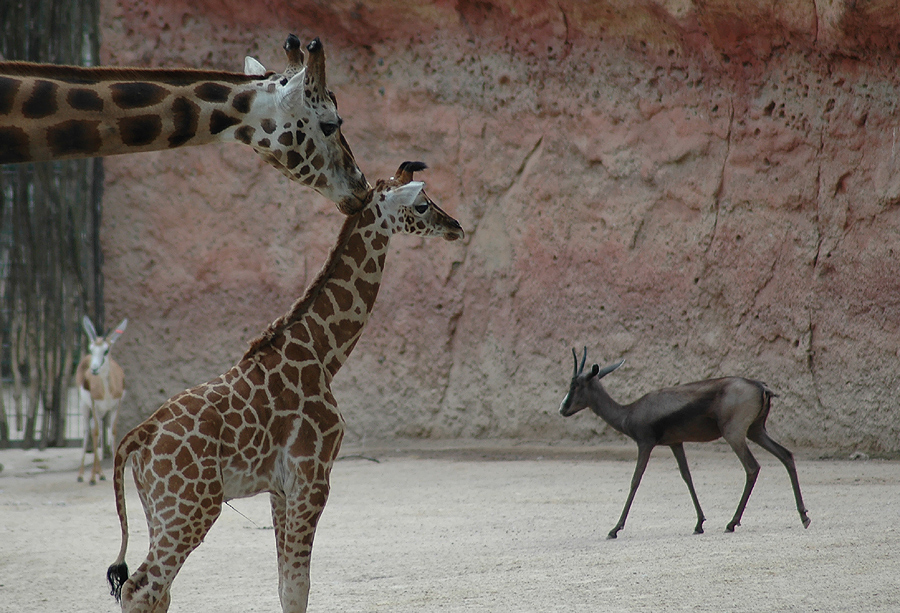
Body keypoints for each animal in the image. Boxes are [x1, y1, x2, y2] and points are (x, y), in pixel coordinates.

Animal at [105, 163, 464, 612]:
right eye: (422, 205)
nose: (455, 226)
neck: (323, 355)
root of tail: (141, 434)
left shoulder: (279, 487)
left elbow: (283, 585)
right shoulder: (312, 475)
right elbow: (297, 589)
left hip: (158, 510)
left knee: (157, 592)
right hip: (191, 507)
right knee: (142, 587)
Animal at [560, 346, 812, 536]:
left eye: (574, 385)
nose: (563, 409)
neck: (629, 413)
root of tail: (761, 386)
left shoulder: (645, 443)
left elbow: (635, 481)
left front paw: (614, 529)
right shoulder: (676, 443)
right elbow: (687, 477)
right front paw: (699, 523)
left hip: (734, 434)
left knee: (752, 467)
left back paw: (732, 523)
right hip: (756, 431)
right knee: (786, 455)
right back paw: (804, 517)